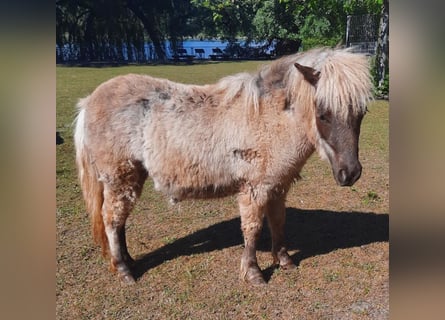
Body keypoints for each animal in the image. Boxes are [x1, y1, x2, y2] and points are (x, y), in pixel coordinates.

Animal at [75, 48, 372, 284]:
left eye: (361, 113)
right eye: (322, 114)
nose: (350, 173)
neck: (269, 119)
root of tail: (89, 101)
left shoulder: (277, 186)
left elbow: (278, 221)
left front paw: (284, 260)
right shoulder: (254, 189)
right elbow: (252, 228)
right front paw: (253, 273)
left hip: (128, 179)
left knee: (119, 221)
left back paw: (128, 260)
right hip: (120, 178)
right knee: (112, 219)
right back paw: (124, 270)